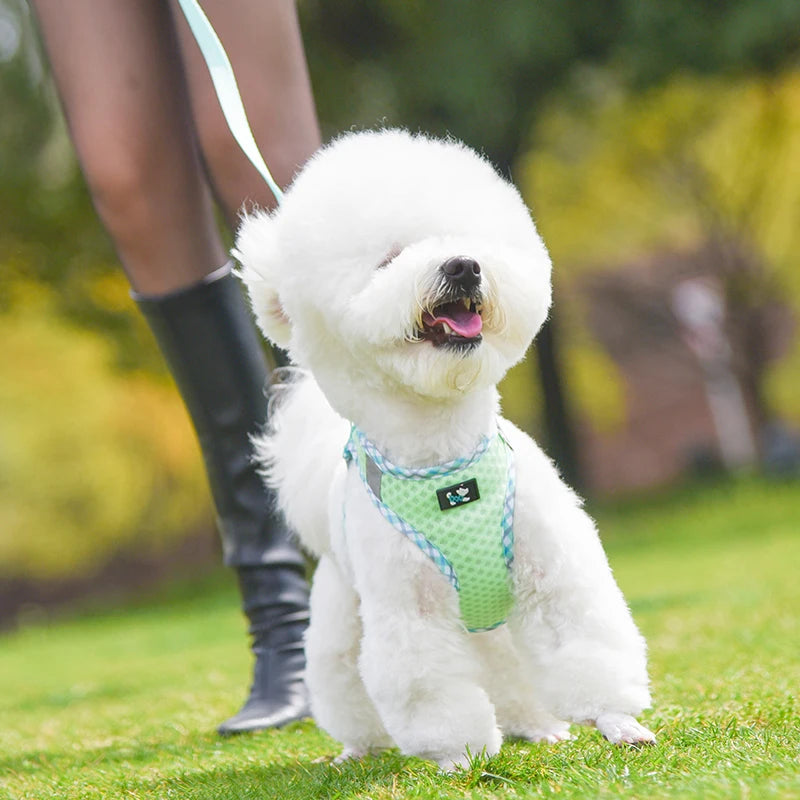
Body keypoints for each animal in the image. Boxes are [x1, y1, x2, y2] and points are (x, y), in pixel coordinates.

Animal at [233, 126, 656, 768]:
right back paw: (357, 749)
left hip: (495, 629)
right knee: (345, 685)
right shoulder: (411, 614)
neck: (446, 464)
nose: (463, 265)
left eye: (465, 241)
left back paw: (539, 726)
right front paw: (458, 755)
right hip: (341, 620)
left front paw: (618, 721)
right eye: (387, 260)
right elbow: (429, 689)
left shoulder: (556, 575)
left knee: (511, 678)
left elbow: (585, 644)